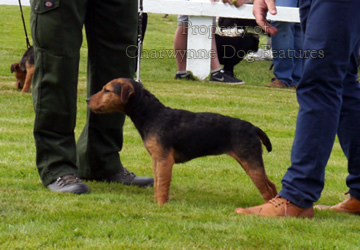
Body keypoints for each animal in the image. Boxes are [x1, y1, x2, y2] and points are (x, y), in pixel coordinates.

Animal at [88, 78, 278, 205]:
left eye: (107, 90)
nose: (87, 100)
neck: (151, 114)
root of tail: (253, 128)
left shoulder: (165, 160)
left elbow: (162, 185)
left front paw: (161, 205)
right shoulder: (157, 159)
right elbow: (157, 183)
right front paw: (156, 202)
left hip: (250, 161)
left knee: (268, 189)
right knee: (272, 186)